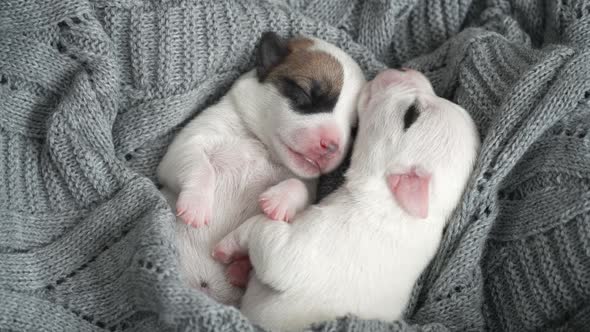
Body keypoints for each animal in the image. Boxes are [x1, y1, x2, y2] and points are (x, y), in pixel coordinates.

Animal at [157, 31, 366, 306]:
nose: (331, 145)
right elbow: (200, 167)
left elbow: (298, 186)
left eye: (353, 129)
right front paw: (196, 206)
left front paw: (277, 202)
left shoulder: (307, 186)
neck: (263, 145)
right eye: (305, 94)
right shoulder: (187, 144)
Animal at [213, 67, 480, 330]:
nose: (406, 69)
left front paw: (227, 248)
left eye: (412, 114)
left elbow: (261, 231)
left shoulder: (296, 253)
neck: (393, 206)